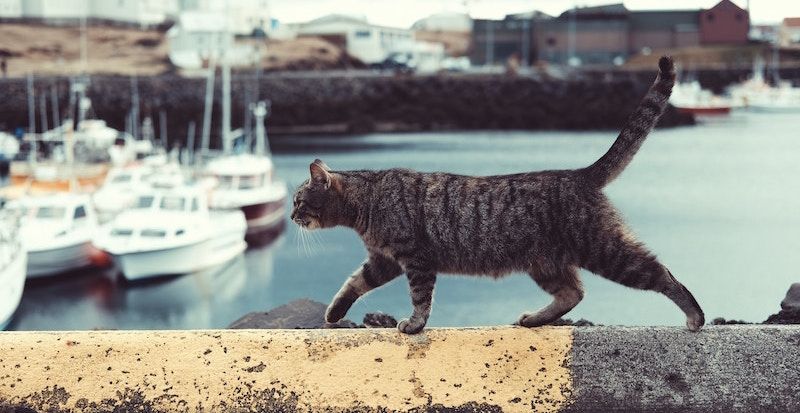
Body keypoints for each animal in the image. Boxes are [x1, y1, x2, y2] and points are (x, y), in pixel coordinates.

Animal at [290, 56, 704, 334]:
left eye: (297, 201)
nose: (291, 217)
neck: (368, 201)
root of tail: (578, 174)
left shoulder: (415, 258)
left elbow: (420, 298)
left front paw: (415, 324)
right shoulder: (383, 261)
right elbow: (352, 284)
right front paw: (334, 313)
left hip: (605, 250)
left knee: (660, 273)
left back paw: (694, 315)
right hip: (546, 264)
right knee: (572, 293)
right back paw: (535, 319)